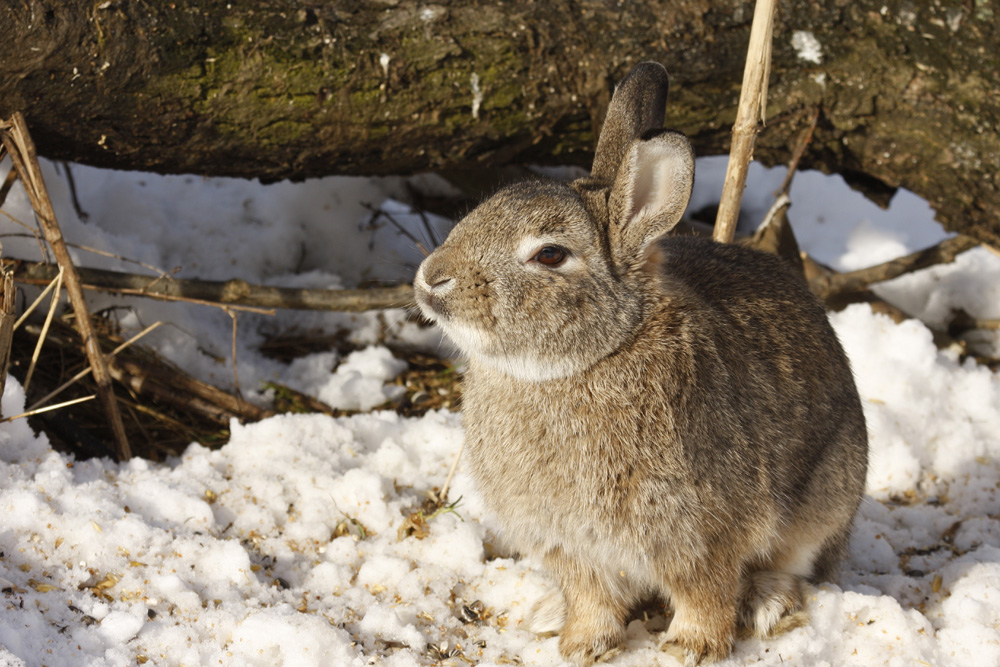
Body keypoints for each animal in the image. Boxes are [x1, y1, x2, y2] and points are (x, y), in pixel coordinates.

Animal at [412, 60, 868, 664]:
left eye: (550, 254)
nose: (431, 279)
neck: (594, 356)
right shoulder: (572, 547)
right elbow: (591, 597)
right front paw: (581, 645)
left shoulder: (703, 531)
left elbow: (706, 591)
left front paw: (690, 648)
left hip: (828, 495)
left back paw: (766, 604)